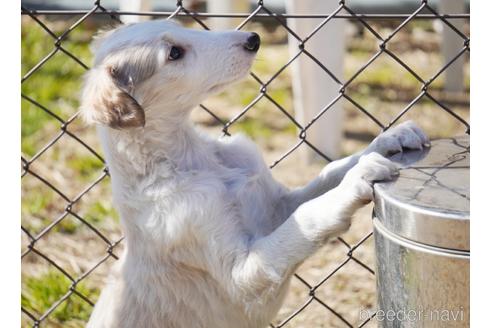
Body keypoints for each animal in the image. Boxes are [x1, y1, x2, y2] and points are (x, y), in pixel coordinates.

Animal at [80, 20, 426, 328]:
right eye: (174, 53)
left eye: (178, 25)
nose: (253, 39)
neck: (194, 159)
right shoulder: (243, 273)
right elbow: (306, 217)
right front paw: (357, 181)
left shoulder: (275, 204)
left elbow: (328, 174)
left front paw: (387, 141)